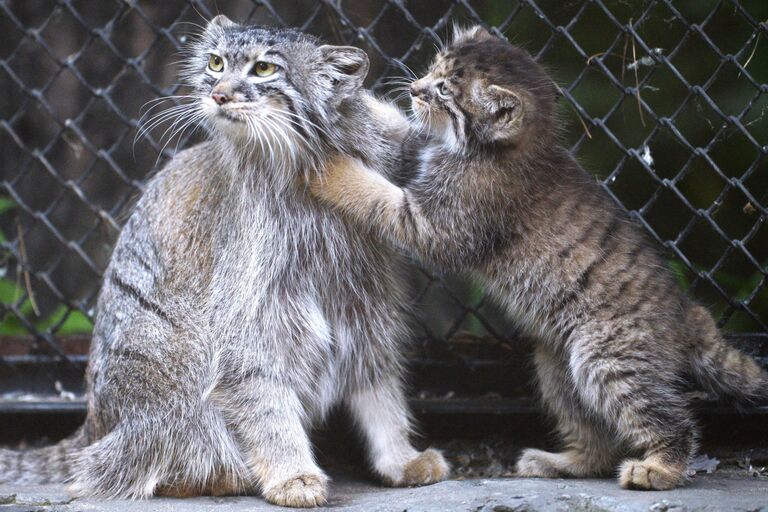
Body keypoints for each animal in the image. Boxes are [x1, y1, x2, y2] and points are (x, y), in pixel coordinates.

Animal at [0, 15, 448, 504]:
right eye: (215, 63)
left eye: (264, 69)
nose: (217, 94)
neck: (301, 160)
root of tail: (93, 427)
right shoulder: (249, 315)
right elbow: (262, 394)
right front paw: (292, 473)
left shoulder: (365, 298)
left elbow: (378, 383)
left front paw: (399, 458)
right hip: (174, 353)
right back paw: (223, 473)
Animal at [308, 26, 764, 490]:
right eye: (434, 69)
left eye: (443, 90)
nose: (416, 88)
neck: (510, 147)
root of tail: (687, 312)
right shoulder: (418, 154)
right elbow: (396, 134)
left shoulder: (442, 223)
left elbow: (378, 196)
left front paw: (333, 169)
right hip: (556, 362)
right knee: (599, 440)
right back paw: (566, 462)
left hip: (608, 357)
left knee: (670, 419)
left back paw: (659, 467)